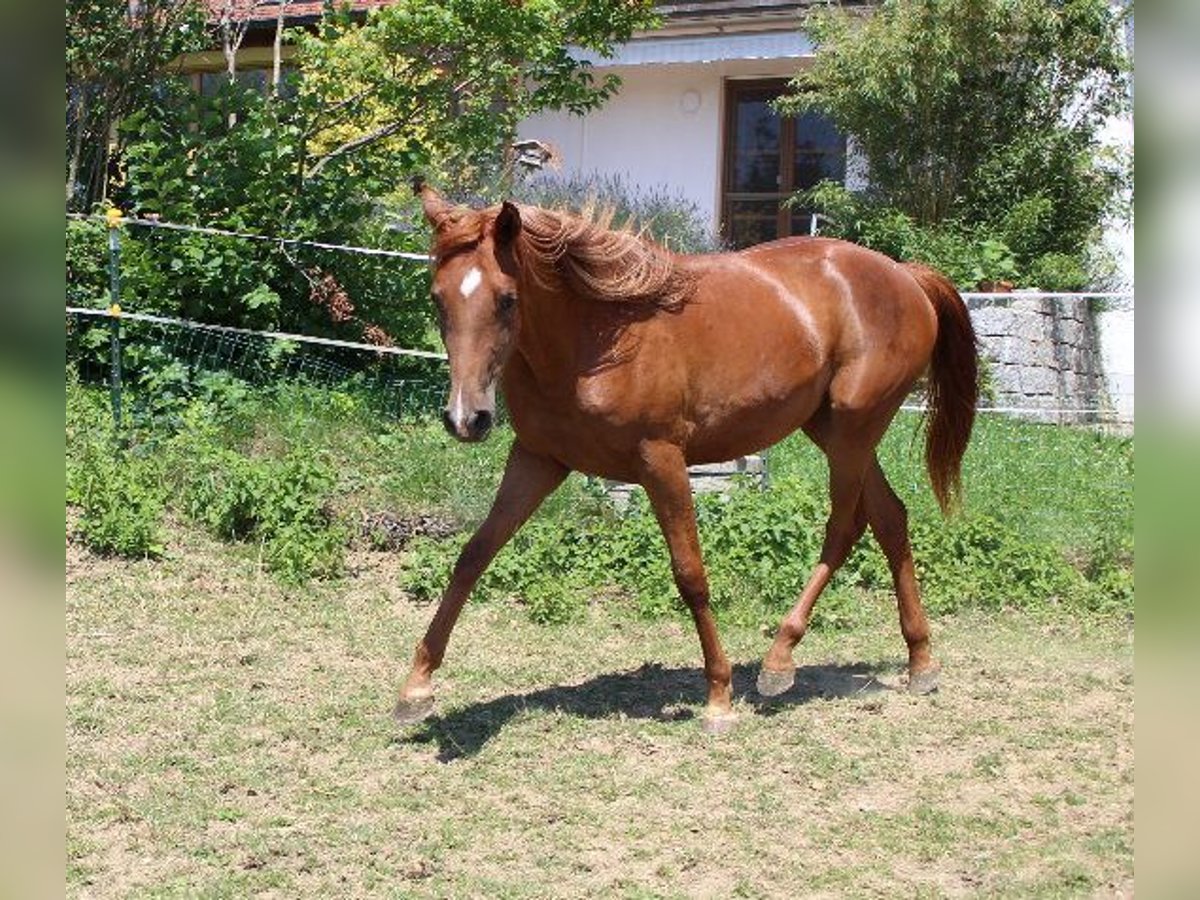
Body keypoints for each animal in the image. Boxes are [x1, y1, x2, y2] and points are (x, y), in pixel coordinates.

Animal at [393, 183, 974, 734]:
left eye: (507, 300)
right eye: (437, 300)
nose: (466, 418)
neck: (595, 340)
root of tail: (905, 275)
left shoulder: (662, 460)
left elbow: (690, 573)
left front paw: (719, 698)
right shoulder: (537, 459)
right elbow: (474, 555)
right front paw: (416, 688)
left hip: (854, 430)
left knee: (844, 527)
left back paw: (779, 661)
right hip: (836, 431)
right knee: (890, 519)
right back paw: (920, 661)